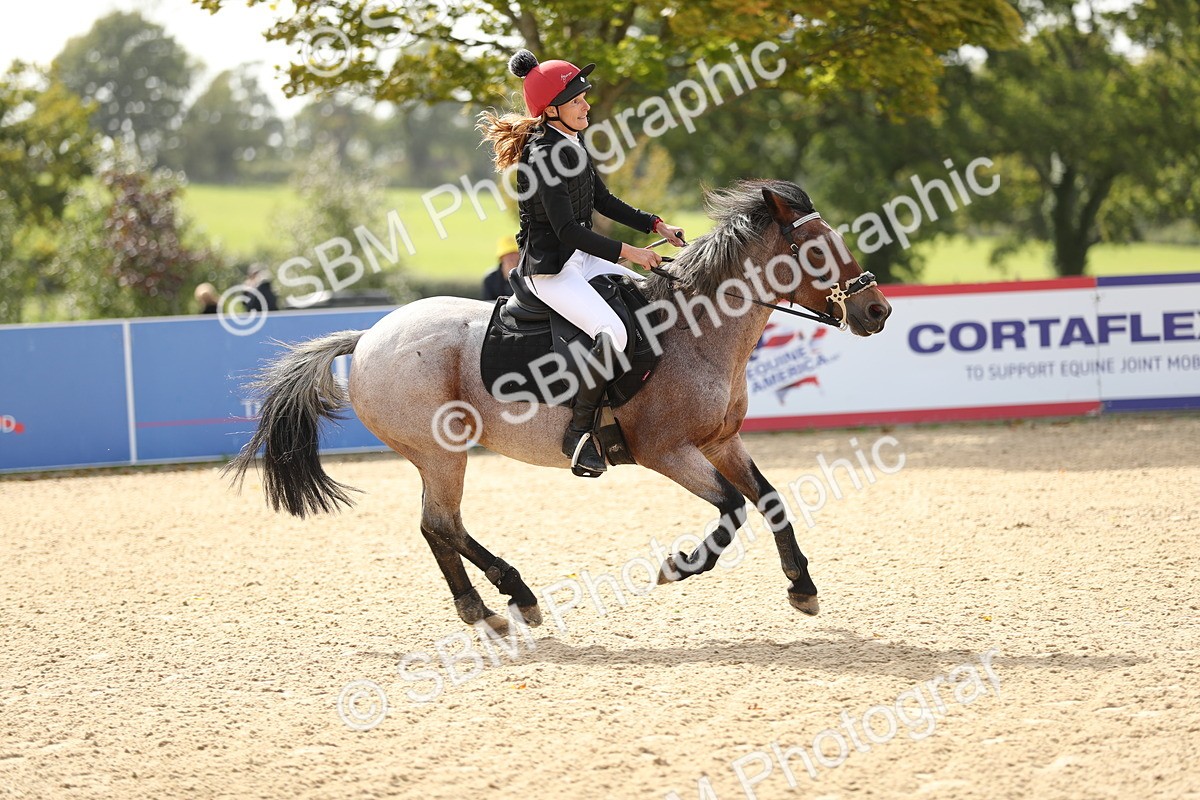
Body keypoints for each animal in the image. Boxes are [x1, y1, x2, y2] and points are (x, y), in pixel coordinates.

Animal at [227, 179, 892, 632]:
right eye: (815, 249)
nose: (877, 311)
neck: (695, 330)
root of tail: (366, 337)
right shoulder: (667, 452)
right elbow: (731, 510)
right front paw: (678, 565)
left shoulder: (720, 442)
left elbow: (770, 500)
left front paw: (802, 587)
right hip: (440, 452)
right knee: (438, 525)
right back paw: (491, 607)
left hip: (441, 456)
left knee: (446, 527)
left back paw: (510, 599)